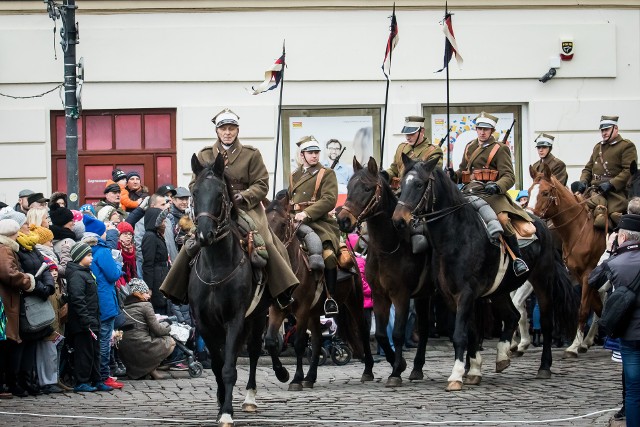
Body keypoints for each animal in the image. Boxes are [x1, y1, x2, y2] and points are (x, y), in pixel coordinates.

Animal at [189, 152, 288, 426]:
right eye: (194, 192)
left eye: (219, 194)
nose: (204, 235)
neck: (216, 267)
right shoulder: (204, 323)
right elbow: (217, 365)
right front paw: (220, 402)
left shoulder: (235, 319)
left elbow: (229, 367)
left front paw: (226, 412)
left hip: (258, 315)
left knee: (255, 350)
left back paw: (252, 396)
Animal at [264, 191, 376, 392]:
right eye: (265, 223)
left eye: (283, 224)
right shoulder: (277, 308)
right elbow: (270, 340)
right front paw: (282, 373)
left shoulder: (301, 310)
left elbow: (299, 343)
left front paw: (296, 379)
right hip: (315, 313)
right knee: (317, 341)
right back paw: (310, 377)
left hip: (353, 301)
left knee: (362, 330)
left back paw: (368, 370)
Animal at [336, 157, 436, 388]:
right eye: (348, 187)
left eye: (367, 188)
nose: (343, 220)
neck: (388, 247)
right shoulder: (379, 295)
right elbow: (381, 334)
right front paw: (398, 364)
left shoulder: (401, 295)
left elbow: (397, 333)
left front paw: (396, 372)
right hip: (424, 295)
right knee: (424, 327)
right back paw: (417, 368)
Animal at [390, 155, 580, 392]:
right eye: (401, 183)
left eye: (418, 184)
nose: (398, 220)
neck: (455, 237)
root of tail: (543, 225)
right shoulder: (453, 296)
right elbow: (470, 333)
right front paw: (473, 370)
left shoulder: (466, 293)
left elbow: (460, 334)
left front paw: (456, 375)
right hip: (499, 290)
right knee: (512, 316)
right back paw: (502, 356)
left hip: (542, 281)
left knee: (545, 322)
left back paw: (544, 366)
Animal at [524, 164, 604, 358]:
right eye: (529, 191)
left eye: (545, 192)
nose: (530, 220)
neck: (580, 229)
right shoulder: (577, 274)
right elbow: (595, 305)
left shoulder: (587, 274)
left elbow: (583, 309)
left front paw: (574, 346)